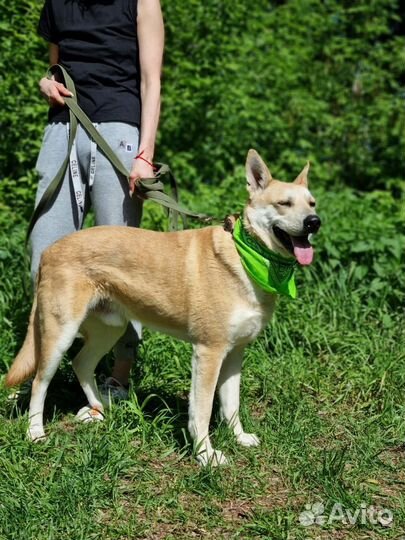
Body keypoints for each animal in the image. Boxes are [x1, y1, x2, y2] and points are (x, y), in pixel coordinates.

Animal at [4, 150, 320, 466]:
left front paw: (239, 438)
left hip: (110, 329)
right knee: (40, 382)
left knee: (81, 364)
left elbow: (232, 405)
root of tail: (49, 251)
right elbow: (202, 411)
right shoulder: (209, 352)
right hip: (60, 334)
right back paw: (35, 432)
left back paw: (101, 407)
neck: (247, 257)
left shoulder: (235, 353)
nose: (314, 222)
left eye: (312, 203)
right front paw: (206, 455)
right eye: (284, 203)